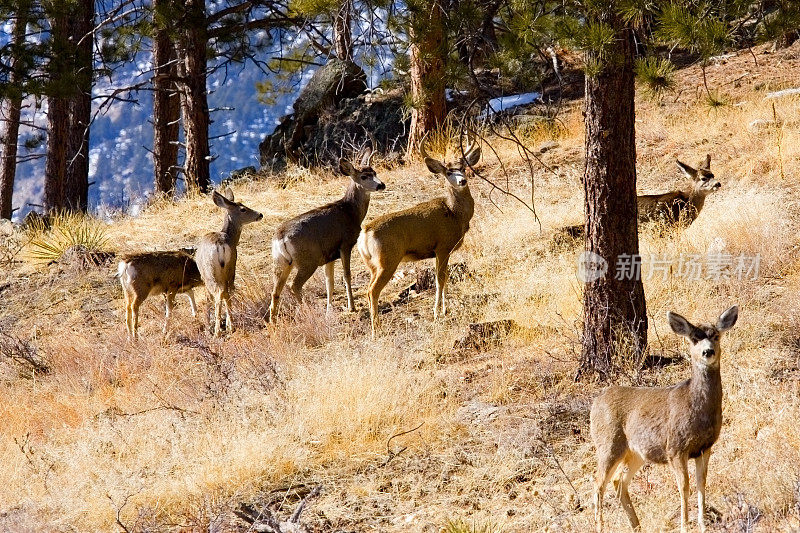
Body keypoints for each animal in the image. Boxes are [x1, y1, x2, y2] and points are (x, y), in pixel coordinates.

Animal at [196, 189, 262, 334]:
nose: (260, 214)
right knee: (227, 291)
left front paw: (208, 326)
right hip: (230, 267)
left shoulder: (203, 277)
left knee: (220, 293)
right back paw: (228, 325)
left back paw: (219, 330)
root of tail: (220, 245)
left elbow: (208, 297)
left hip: (212, 273)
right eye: (243, 209)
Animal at [266, 143, 384, 322]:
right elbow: (346, 275)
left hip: (281, 263)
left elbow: (330, 283)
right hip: (308, 260)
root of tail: (280, 238)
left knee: (275, 292)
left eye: (375, 172)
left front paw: (330, 310)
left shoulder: (329, 256)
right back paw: (307, 311)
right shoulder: (345, 244)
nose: (381, 185)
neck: (350, 211)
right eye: (364, 176)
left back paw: (273, 323)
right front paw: (351, 307)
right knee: (294, 286)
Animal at [358, 137, 482, 336]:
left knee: (367, 290)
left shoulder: (442, 252)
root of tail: (365, 232)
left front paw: (444, 309)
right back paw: (376, 329)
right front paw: (438, 312)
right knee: (372, 291)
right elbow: (440, 279)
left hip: (372, 265)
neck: (454, 213)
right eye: (448, 172)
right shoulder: (443, 247)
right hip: (388, 260)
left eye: (463, 167)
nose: (463, 180)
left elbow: (445, 277)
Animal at [592, 304, 740, 532]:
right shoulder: (675, 448)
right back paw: (601, 527)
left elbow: (701, 483)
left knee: (618, 482)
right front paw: (684, 526)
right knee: (598, 484)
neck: (699, 410)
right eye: (694, 338)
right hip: (608, 444)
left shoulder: (705, 447)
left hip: (636, 452)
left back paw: (637, 526)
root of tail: (595, 402)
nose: (708, 352)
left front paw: (703, 525)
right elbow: (684, 486)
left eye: (715, 335)